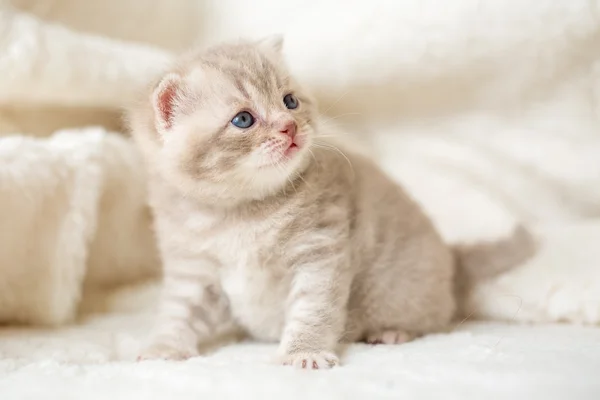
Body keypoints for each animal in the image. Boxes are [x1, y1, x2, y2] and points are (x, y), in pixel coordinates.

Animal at [127, 36, 536, 368]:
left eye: (290, 101)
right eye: (243, 119)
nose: (289, 126)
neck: (241, 213)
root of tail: (451, 257)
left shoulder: (319, 251)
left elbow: (313, 308)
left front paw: (303, 352)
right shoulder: (192, 267)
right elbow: (178, 310)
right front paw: (164, 346)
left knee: (432, 319)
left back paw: (393, 332)